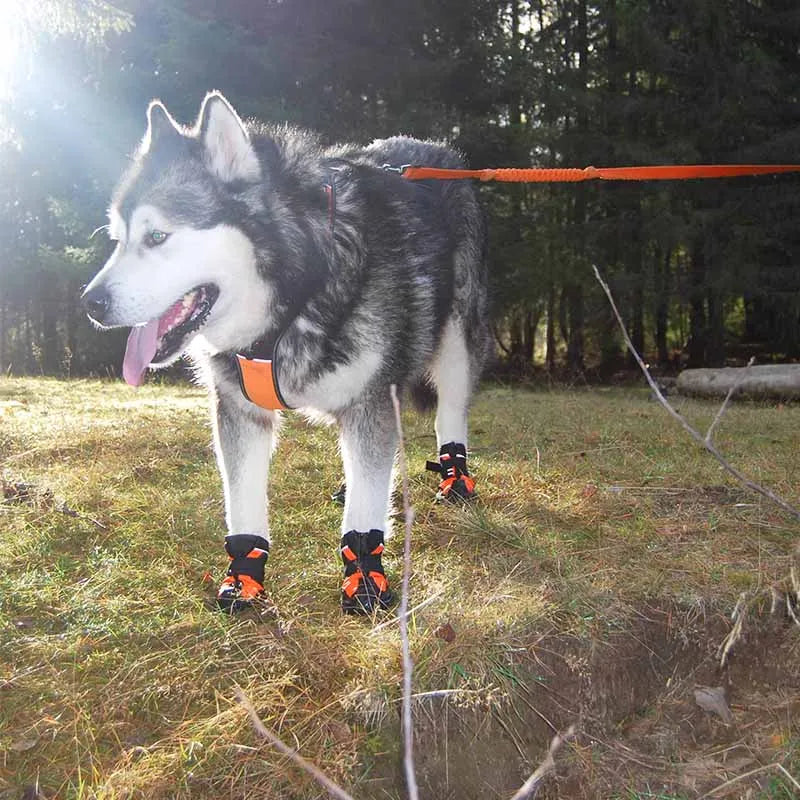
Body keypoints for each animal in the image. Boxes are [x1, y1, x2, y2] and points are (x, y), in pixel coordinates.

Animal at [84, 92, 490, 612]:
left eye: (157, 237)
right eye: (118, 239)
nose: (90, 303)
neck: (289, 304)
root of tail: (434, 149)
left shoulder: (369, 399)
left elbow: (365, 513)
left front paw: (364, 575)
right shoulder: (239, 411)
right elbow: (243, 502)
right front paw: (244, 576)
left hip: (456, 343)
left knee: (448, 415)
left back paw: (455, 478)